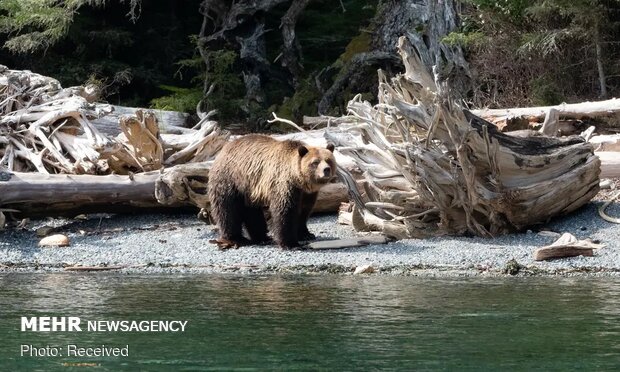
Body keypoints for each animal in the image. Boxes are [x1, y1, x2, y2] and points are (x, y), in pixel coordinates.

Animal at [208, 134, 336, 250]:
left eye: (329, 160)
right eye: (315, 162)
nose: (326, 170)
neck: (299, 180)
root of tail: (223, 149)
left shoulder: (307, 193)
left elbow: (304, 210)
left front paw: (306, 234)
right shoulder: (284, 184)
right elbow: (285, 211)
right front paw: (291, 243)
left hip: (248, 189)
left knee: (251, 212)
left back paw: (262, 237)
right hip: (230, 179)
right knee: (227, 209)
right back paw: (236, 238)